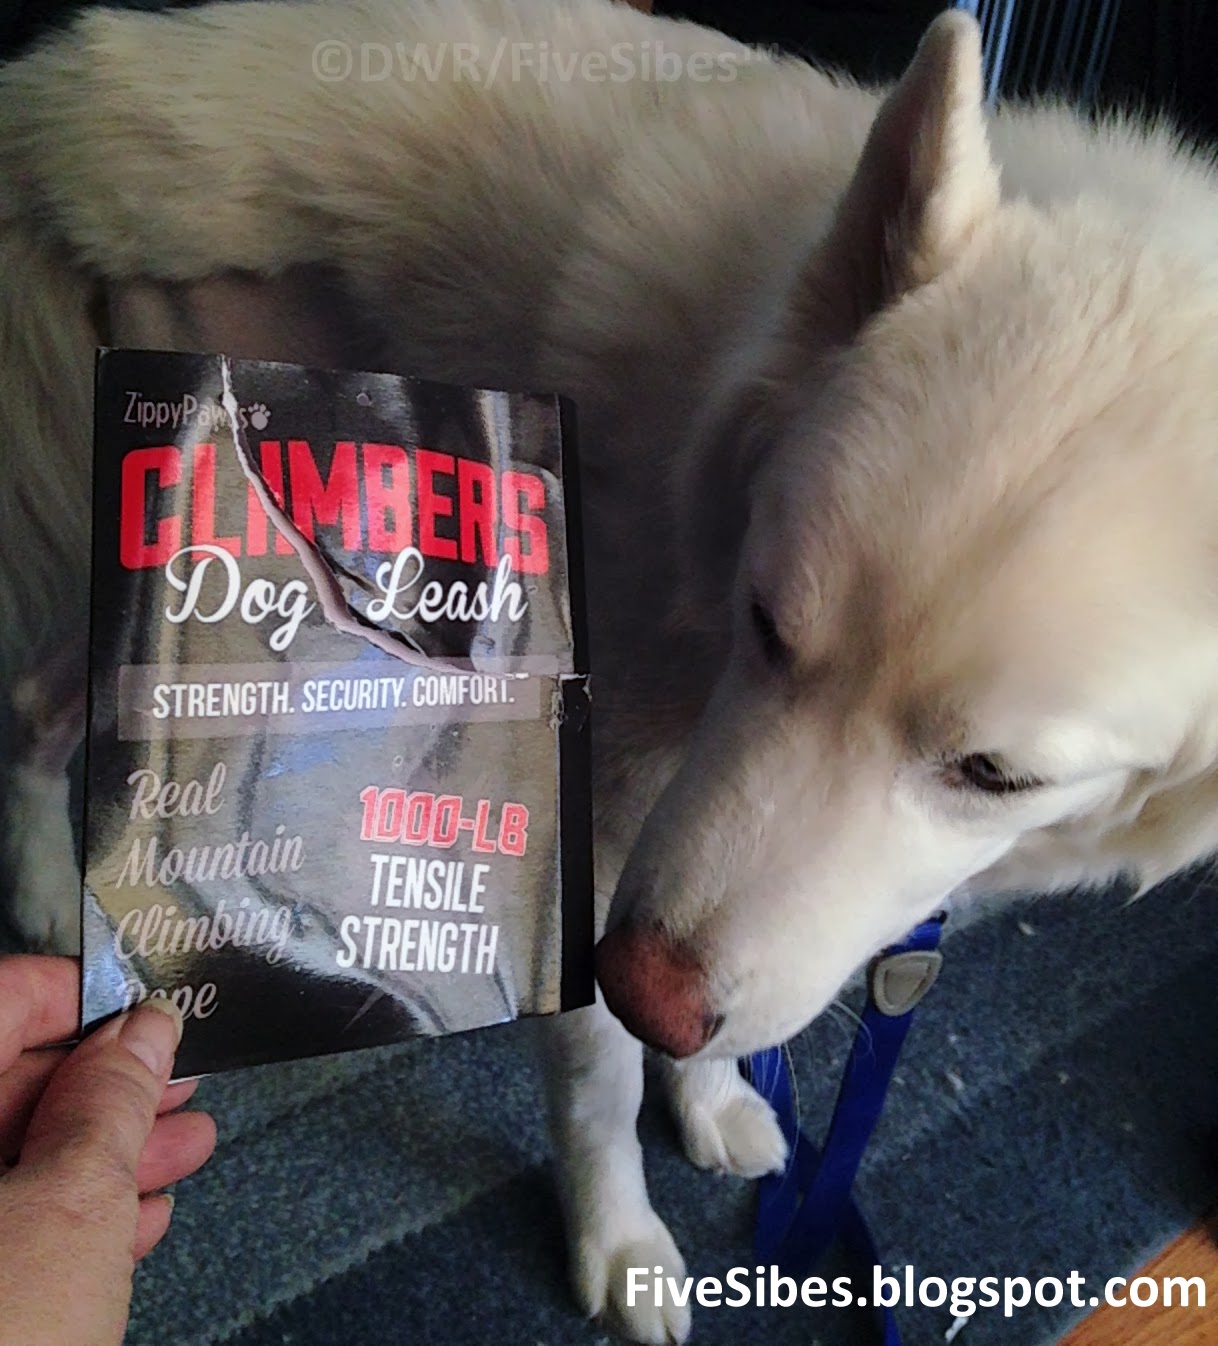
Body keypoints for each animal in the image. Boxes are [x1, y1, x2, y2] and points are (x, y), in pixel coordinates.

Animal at [2, 0, 1218, 1339]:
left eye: (994, 775)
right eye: (764, 620)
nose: (645, 992)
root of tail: (89, 75)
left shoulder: (677, 884)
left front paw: (715, 1092)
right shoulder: (602, 850)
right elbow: (599, 1080)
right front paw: (622, 1237)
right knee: (44, 703)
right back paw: (54, 897)